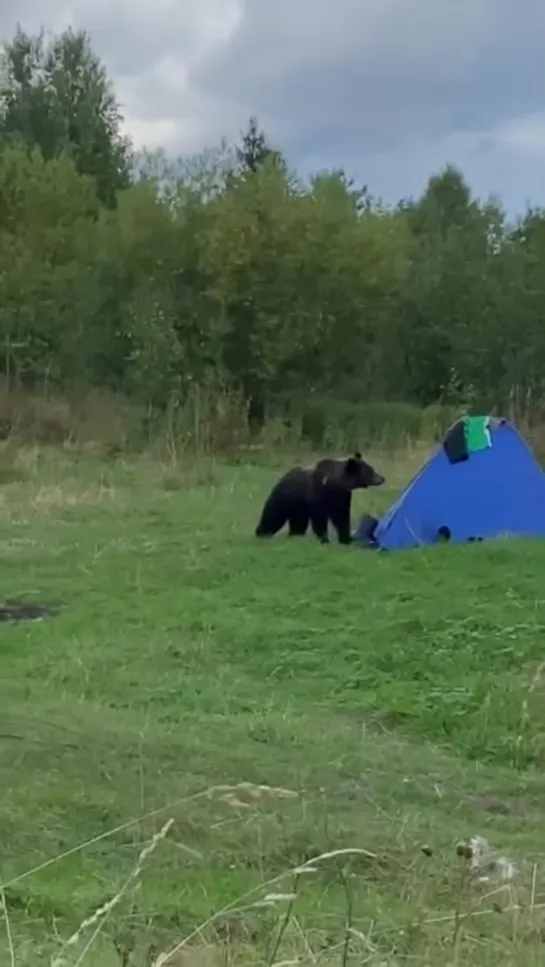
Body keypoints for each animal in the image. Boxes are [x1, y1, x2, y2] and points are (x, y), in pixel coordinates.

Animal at [254, 450, 384, 540]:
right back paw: (262, 534)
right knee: (272, 518)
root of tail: (282, 478)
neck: (334, 485)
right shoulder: (318, 497)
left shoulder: (342, 498)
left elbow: (342, 518)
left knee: (298, 524)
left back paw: (295, 535)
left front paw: (346, 539)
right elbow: (320, 520)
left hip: (298, 509)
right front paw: (324, 539)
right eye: (370, 471)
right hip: (283, 500)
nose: (382, 478)